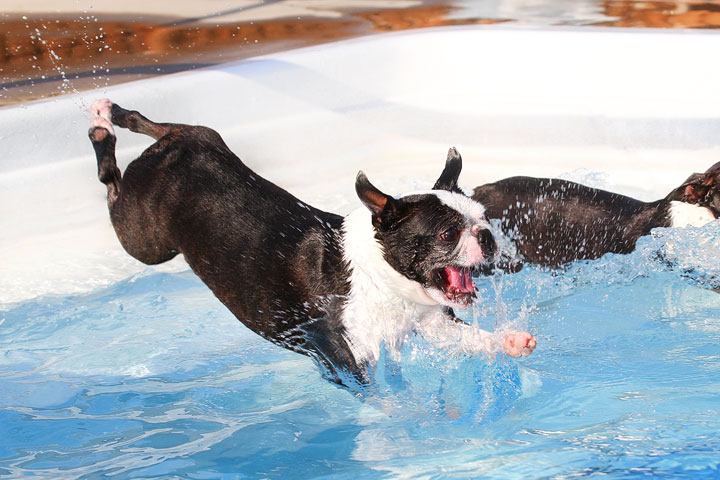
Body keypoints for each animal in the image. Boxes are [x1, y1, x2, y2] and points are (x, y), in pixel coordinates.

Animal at [88, 100, 536, 386]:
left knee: (153, 121)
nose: (487, 237)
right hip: (144, 238)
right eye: (448, 234)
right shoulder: (341, 357)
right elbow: (378, 396)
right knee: (111, 185)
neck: (378, 278)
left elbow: (469, 337)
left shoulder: (431, 323)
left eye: (484, 218)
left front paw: (508, 342)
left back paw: (112, 114)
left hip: (199, 137)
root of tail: (175, 149)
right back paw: (100, 127)